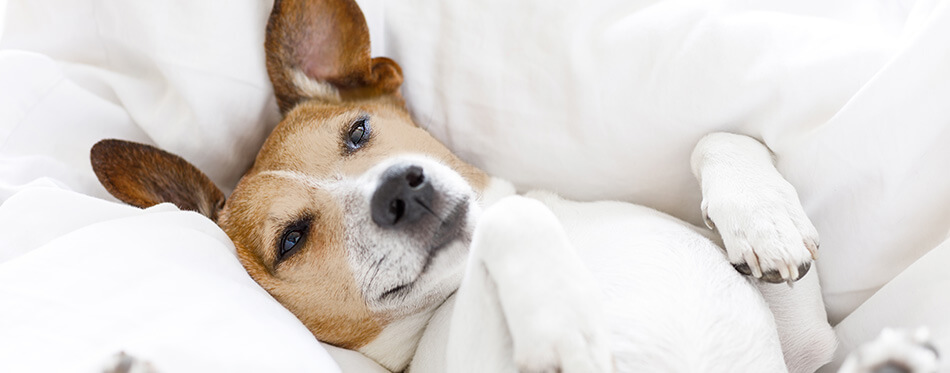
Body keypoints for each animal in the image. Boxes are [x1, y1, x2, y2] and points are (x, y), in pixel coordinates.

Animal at [89, 0, 936, 372]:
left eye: (358, 133)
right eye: (291, 239)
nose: (401, 188)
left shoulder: (811, 348)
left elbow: (720, 137)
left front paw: (763, 220)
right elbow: (516, 223)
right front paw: (566, 331)